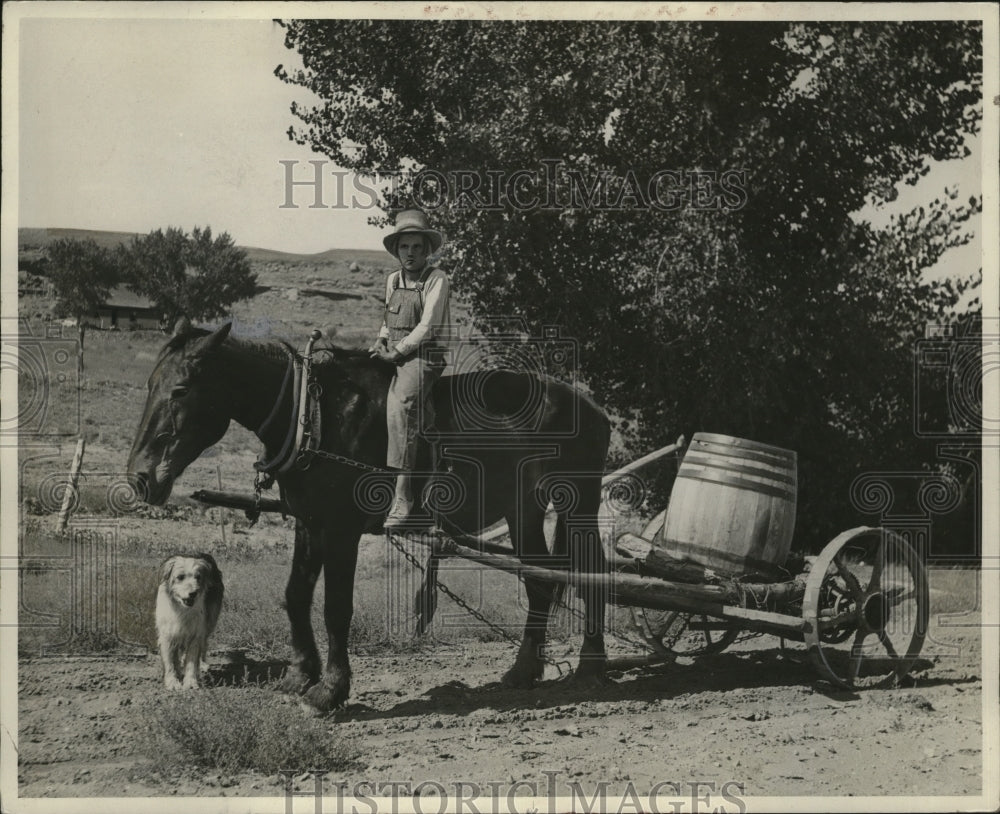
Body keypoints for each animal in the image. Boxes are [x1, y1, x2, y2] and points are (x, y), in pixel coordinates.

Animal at [155, 552, 224, 692]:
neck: (181, 609)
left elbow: (192, 660)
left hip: (209, 622)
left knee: (204, 644)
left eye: (198, 577)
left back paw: (202, 664)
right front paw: (172, 681)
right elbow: (169, 661)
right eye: (180, 577)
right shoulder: (167, 634)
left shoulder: (196, 633)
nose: (193, 593)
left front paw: (191, 682)